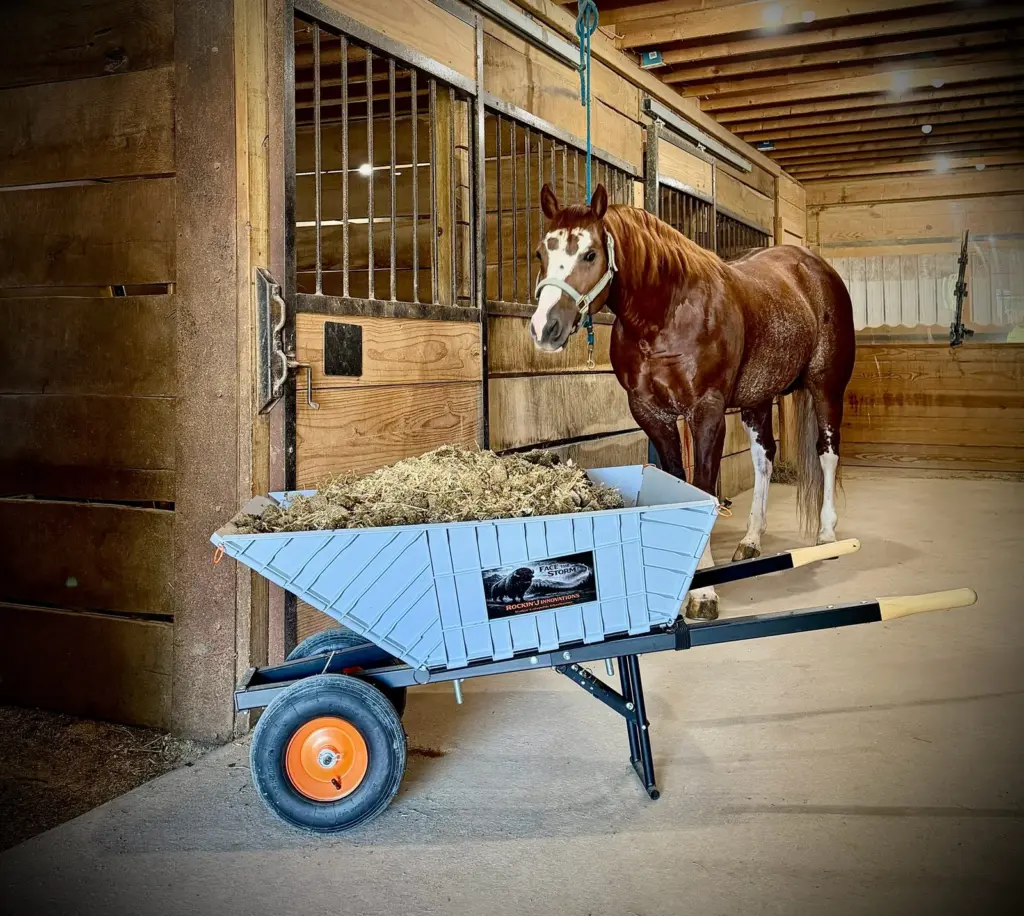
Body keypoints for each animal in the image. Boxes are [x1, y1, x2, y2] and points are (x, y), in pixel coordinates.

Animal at [529, 183, 855, 620]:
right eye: (541, 253)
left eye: (590, 254)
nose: (544, 328)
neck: (668, 312)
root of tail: (815, 268)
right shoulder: (651, 413)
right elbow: (681, 485)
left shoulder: (707, 411)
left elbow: (703, 488)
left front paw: (703, 593)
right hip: (757, 399)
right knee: (764, 458)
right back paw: (751, 540)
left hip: (826, 389)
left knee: (827, 452)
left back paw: (826, 534)